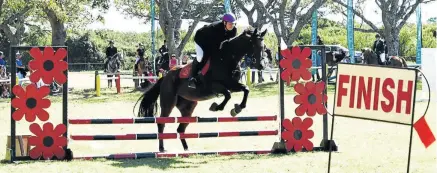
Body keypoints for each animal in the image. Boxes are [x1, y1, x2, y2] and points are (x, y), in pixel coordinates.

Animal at [134, 27, 266, 152]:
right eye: (255, 45)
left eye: (263, 47)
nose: (261, 66)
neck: (227, 58)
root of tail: (165, 76)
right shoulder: (213, 86)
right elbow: (228, 94)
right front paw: (217, 107)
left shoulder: (232, 84)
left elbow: (245, 89)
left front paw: (238, 108)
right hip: (168, 103)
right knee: (162, 123)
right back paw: (162, 148)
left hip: (188, 106)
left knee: (180, 128)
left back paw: (186, 149)